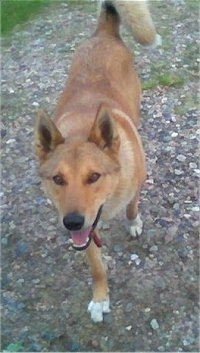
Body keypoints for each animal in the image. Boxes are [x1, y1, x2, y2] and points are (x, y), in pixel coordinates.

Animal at [34, 0, 159, 322]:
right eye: (58, 179)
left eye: (94, 177)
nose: (72, 222)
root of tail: (104, 32)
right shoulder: (88, 230)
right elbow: (96, 266)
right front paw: (101, 298)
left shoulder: (134, 184)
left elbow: (132, 206)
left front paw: (133, 223)